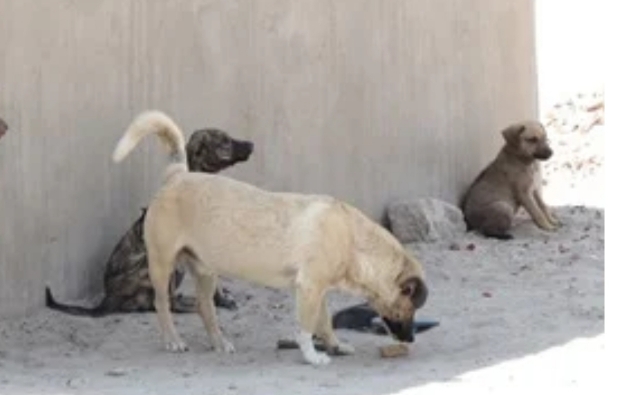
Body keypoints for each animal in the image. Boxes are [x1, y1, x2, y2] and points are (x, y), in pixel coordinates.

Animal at [112, 110, 428, 366]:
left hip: (206, 270)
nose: (412, 340)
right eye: (410, 307)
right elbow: (306, 328)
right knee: (161, 303)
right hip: (162, 265)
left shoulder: (319, 291)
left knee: (205, 307)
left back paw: (219, 342)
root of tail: (178, 175)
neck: (354, 241)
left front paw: (335, 346)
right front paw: (312, 356)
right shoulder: (309, 288)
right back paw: (172, 339)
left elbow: (325, 323)